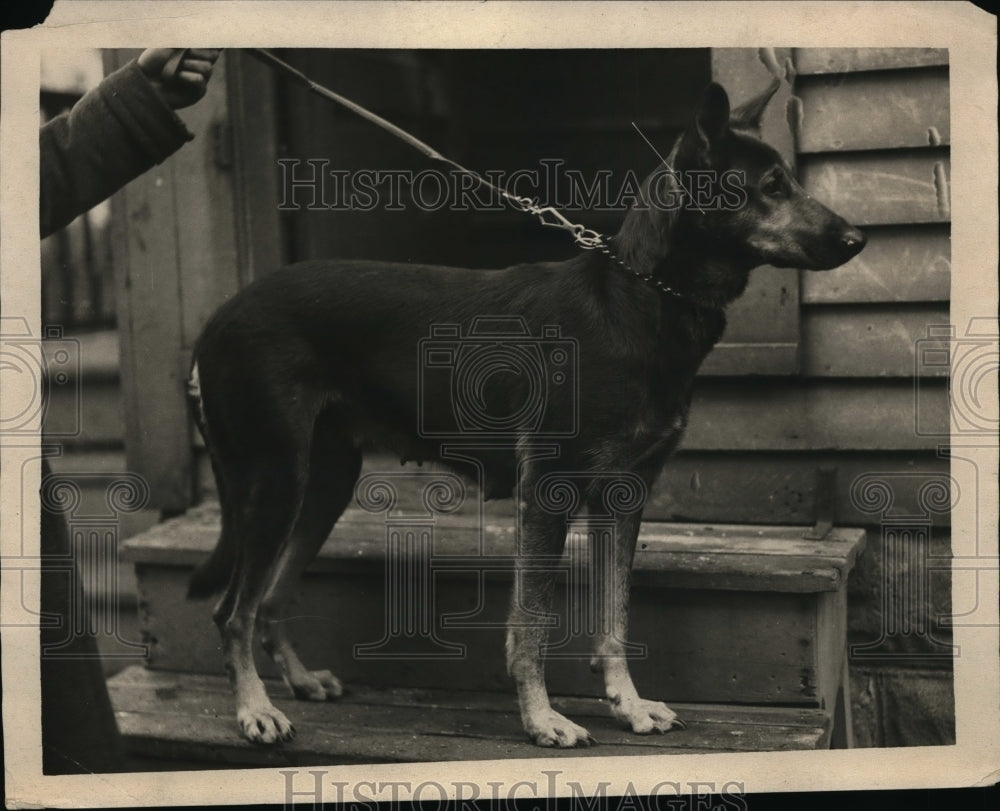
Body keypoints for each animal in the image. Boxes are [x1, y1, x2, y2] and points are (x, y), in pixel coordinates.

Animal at [188, 81, 868, 748]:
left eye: (789, 179)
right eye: (772, 186)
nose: (859, 240)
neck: (637, 299)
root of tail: (216, 320)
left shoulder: (623, 495)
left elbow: (614, 616)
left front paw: (628, 706)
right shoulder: (547, 492)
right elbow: (532, 622)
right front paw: (542, 720)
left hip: (322, 483)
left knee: (269, 599)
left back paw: (299, 682)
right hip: (276, 479)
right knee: (231, 610)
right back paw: (255, 710)